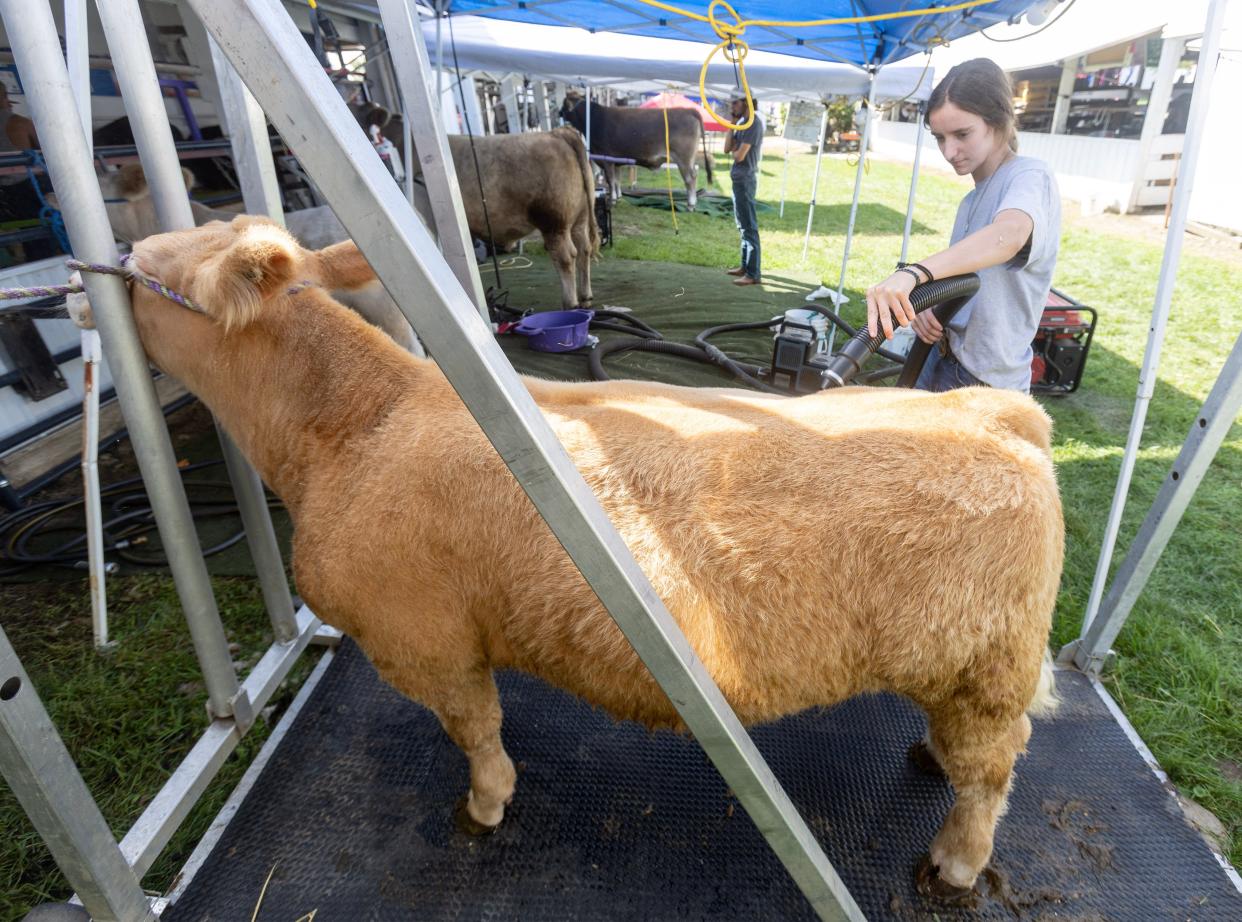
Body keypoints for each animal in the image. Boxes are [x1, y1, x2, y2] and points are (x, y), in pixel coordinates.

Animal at [77, 218, 1063, 904]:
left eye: (156, 272)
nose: (93, 269)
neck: (358, 423)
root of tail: (997, 412)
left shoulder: (426, 642)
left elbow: (477, 732)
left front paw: (484, 807)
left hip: (990, 670)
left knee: (993, 774)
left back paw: (953, 864)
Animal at [558, 94, 715, 209]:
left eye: (564, 104)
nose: (559, 112)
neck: (593, 120)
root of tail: (688, 110)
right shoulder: (615, 162)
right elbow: (617, 180)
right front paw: (619, 197)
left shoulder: (606, 159)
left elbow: (610, 180)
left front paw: (612, 200)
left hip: (684, 159)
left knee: (690, 178)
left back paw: (690, 204)